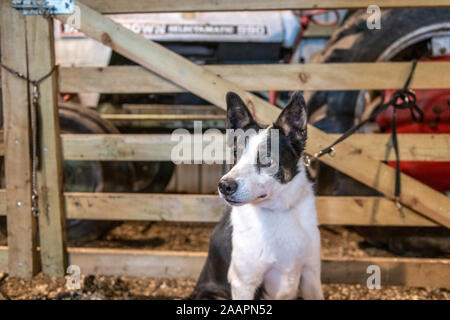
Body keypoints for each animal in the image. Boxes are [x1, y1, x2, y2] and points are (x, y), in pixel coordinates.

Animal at [192, 90, 322, 300]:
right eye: (235, 154)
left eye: (267, 158)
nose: (225, 186)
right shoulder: (244, 283)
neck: (278, 212)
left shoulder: (311, 276)